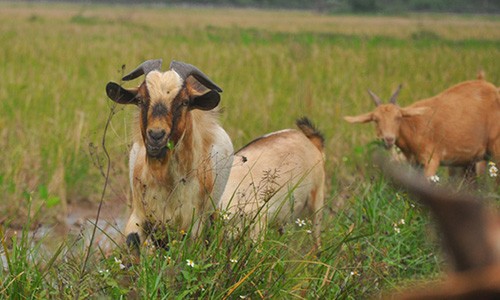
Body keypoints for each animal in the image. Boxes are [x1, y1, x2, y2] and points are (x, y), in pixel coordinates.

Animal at [106, 58, 234, 251]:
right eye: (140, 100)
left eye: (185, 102)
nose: (156, 136)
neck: (164, 180)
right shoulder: (139, 215)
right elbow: (132, 242)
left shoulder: (193, 225)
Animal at [344, 79, 500, 179]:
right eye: (375, 119)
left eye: (398, 117)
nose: (388, 139)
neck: (413, 127)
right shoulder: (415, 164)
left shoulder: (431, 160)